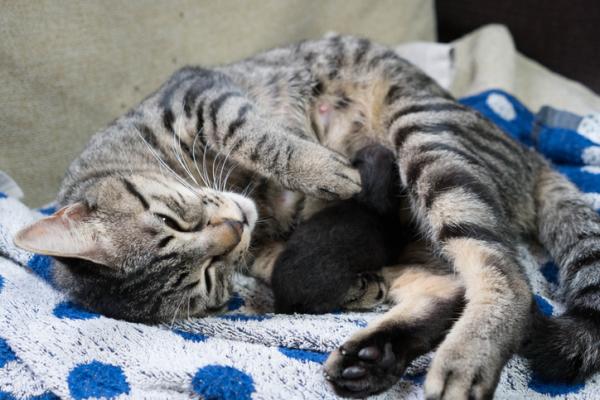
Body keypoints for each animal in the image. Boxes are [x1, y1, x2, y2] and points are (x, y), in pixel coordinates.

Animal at [14, 35, 600, 400]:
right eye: (207, 278)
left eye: (176, 220)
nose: (233, 229)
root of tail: (531, 156)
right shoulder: (269, 248)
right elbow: (289, 266)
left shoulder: (202, 97)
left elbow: (255, 134)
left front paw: (322, 170)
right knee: (454, 287)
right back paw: (374, 359)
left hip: (425, 137)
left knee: (507, 278)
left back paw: (464, 356)